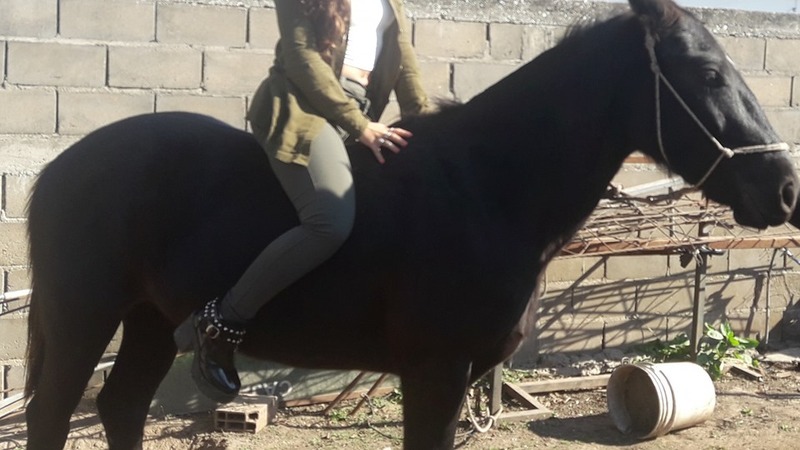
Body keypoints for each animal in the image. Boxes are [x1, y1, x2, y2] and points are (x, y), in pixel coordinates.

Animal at [23, 0, 798, 448]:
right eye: (707, 73)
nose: (785, 188)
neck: (488, 188)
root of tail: (60, 169)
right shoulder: (436, 373)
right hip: (83, 313)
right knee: (53, 415)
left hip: (151, 318)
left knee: (121, 406)